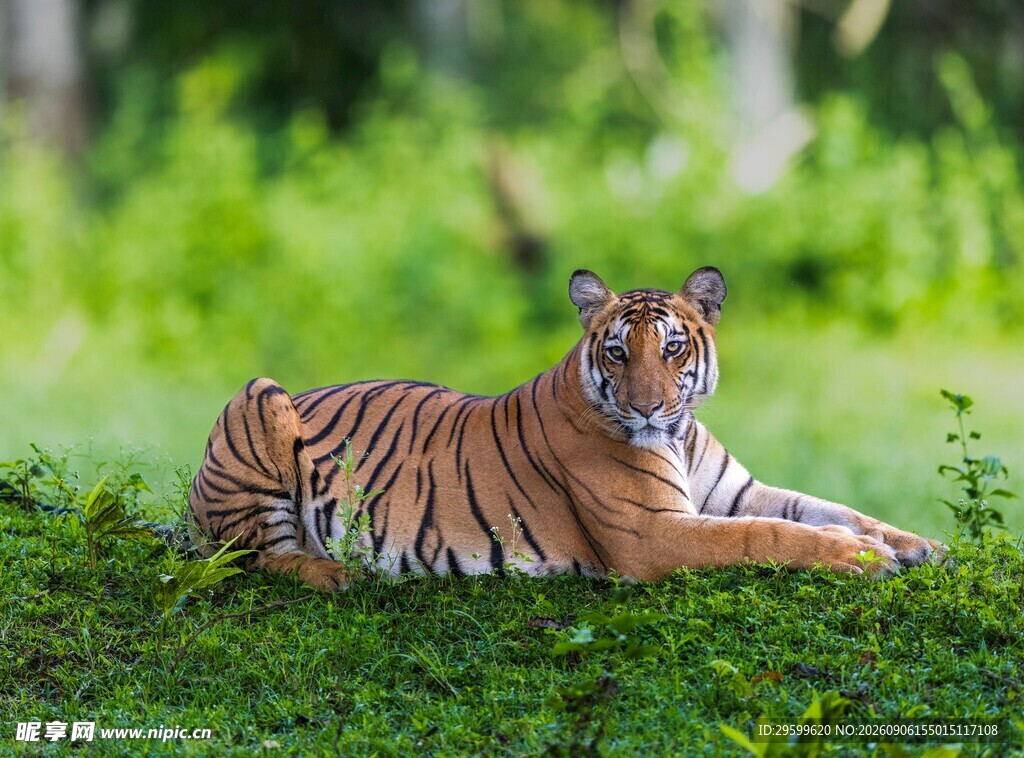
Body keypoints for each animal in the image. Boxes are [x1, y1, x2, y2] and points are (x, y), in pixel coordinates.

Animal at [187, 266, 944, 591]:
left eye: (673, 348)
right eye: (618, 352)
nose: (648, 408)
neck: (678, 433)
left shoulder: (734, 492)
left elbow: (828, 508)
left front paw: (917, 544)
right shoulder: (655, 535)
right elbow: (771, 535)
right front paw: (861, 556)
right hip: (258, 397)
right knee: (261, 556)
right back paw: (341, 573)